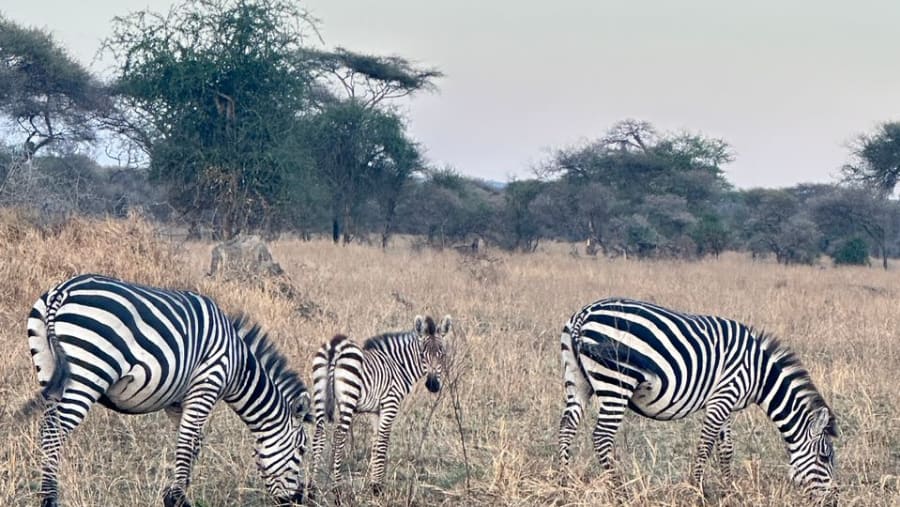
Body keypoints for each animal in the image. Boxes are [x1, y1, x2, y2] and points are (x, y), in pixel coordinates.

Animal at [24, 274, 311, 507]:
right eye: (302, 451)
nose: (300, 499)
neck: (238, 365)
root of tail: (62, 291)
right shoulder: (206, 384)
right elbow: (187, 442)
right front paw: (179, 499)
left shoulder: (177, 401)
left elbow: (191, 443)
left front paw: (173, 494)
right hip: (87, 372)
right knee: (53, 432)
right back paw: (50, 500)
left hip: (49, 369)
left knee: (47, 429)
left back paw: (46, 494)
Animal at [308, 314, 452, 497]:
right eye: (422, 355)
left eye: (442, 355)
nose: (433, 385)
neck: (399, 366)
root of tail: (335, 345)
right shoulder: (390, 404)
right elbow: (383, 441)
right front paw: (377, 487)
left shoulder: (375, 411)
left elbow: (376, 441)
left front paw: (372, 483)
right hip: (348, 397)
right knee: (339, 436)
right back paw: (337, 488)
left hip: (319, 393)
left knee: (318, 435)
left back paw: (311, 488)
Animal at [558, 298, 838, 502]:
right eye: (825, 458)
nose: (834, 500)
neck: (760, 374)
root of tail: (584, 314)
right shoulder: (723, 397)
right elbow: (705, 446)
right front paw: (696, 492)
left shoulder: (725, 401)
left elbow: (726, 449)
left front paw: (728, 491)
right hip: (617, 381)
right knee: (602, 437)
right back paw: (621, 492)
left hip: (577, 380)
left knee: (567, 427)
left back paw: (564, 483)